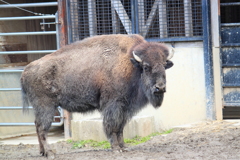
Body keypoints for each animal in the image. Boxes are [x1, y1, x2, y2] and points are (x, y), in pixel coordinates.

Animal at [20, 34, 173, 158]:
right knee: (42, 128)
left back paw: (42, 152)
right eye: (146, 67)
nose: (160, 88)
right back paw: (50, 153)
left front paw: (124, 147)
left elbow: (120, 127)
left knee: (37, 125)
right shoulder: (113, 105)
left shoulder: (125, 107)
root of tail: (26, 71)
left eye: (164, 66)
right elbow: (112, 126)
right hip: (46, 107)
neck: (130, 64)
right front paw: (116, 148)